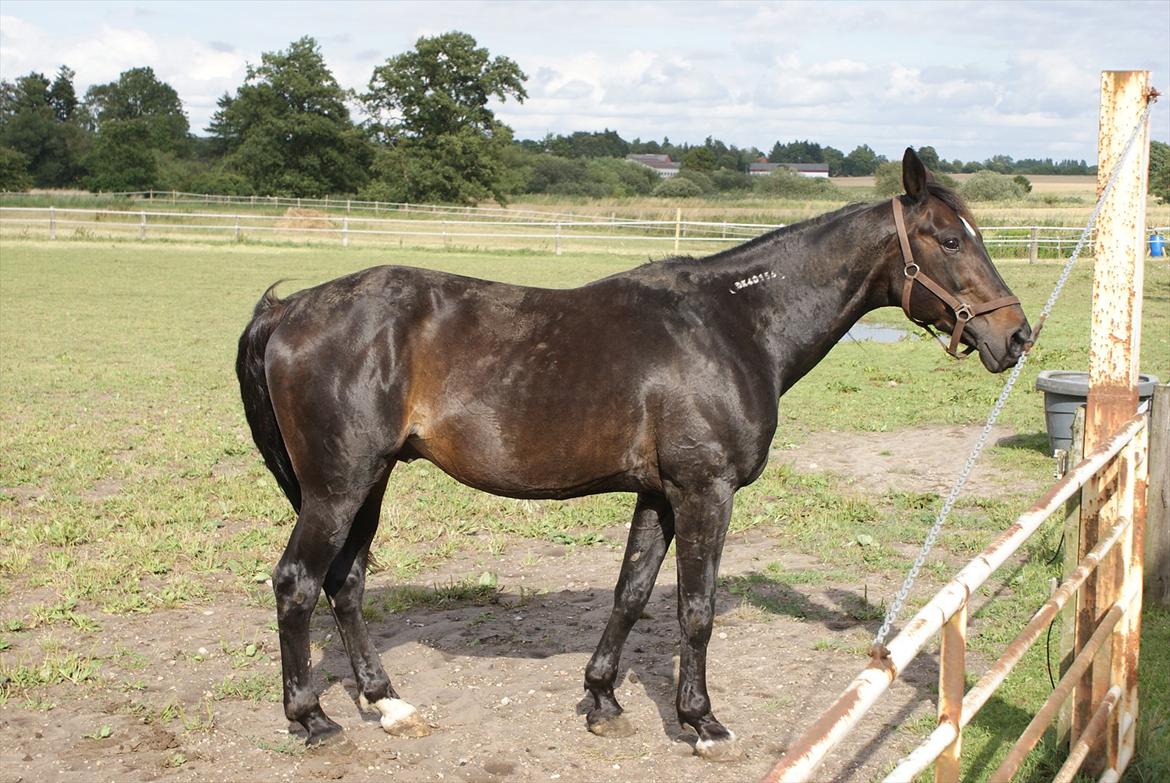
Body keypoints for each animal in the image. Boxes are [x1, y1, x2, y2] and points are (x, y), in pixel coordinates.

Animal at [237, 149, 1034, 753]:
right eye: (950, 240)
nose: (1018, 336)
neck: (733, 324)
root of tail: (288, 309)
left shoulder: (658, 493)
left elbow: (631, 592)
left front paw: (601, 699)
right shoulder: (705, 490)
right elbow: (695, 608)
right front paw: (701, 721)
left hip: (367, 483)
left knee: (345, 584)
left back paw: (385, 701)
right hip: (338, 487)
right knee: (297, 583)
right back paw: (312, 718)